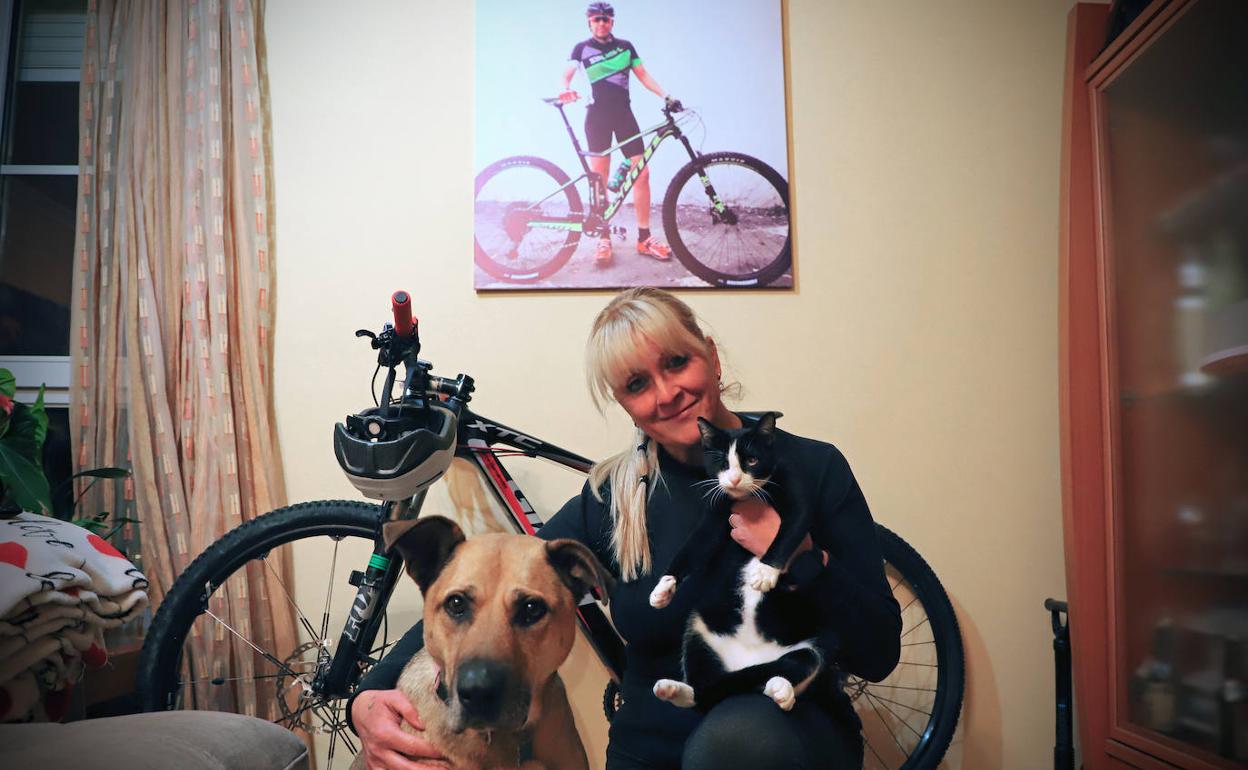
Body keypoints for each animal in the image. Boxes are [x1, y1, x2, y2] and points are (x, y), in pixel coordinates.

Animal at [643, 411, 828, 713]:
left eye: (751, 460)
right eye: (722, 462)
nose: (733, 479)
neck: (748, 497)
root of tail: (742, 667)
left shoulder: (794, 493)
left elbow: (789, 530)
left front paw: (764, 572)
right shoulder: (716, 509)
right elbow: (695, 546)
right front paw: (663, 587)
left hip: (807, 649)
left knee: (801, 665)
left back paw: (782, 690)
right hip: (698, 630)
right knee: (702, 693)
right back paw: (673, 690)